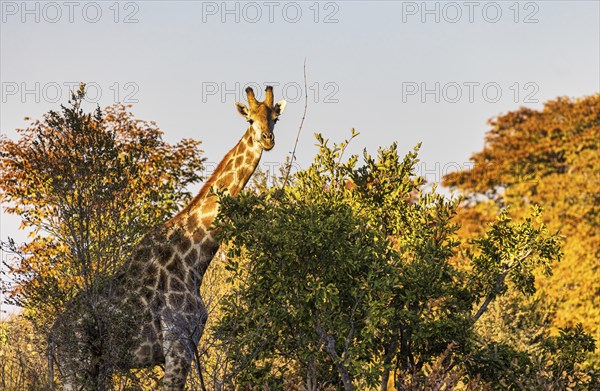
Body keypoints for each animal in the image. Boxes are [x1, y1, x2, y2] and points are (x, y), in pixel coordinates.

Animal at [51, 86, 286, 391]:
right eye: (250, 120)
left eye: (275, 119)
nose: (267, 140)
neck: (195, 257)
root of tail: (53, 337)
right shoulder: (177, 346)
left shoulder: (188, 344)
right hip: (77, 367)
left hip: (93, 369)